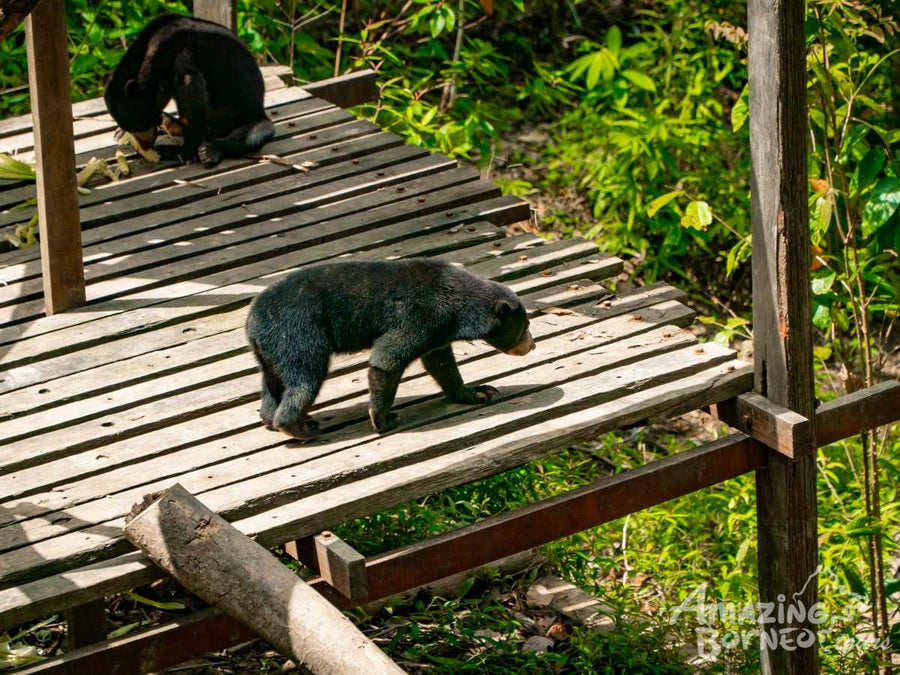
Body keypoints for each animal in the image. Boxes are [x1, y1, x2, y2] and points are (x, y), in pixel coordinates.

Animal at [103, 14, 274, 168]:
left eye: (139, 126)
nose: (145, 145)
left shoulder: (183, 56)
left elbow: (191, 91)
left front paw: (182, 151)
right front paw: (120, 132)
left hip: (245, 111)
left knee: (257, 131)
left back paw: (208, 151)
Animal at [246, 258, 536, 438]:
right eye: (525, 326)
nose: (531, 345)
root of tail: (253, 321)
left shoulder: (437, 333)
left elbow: (441, 364)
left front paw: (479, 392)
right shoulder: (421, 315)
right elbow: (387, 359)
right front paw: (382, 419)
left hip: (269, 349)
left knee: (273, 382)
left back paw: (271, 419)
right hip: (297, 333)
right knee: (305, 377)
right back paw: (299, 428)